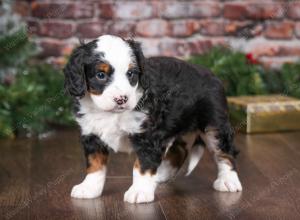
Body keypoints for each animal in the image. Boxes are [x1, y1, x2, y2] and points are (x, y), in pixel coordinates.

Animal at [64, 34, 243, 205]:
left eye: (131, 74)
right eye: (100, 75)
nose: (122, 99)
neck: (112, 114)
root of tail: (212, 74)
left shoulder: (148, 137)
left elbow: (141, 166)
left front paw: (140, 191)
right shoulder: (92, 134)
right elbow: (95, 165)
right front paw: (89, 188)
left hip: (215, 124)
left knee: (224, 152)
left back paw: (228, 181)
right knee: (179, 151)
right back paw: (160, 175)